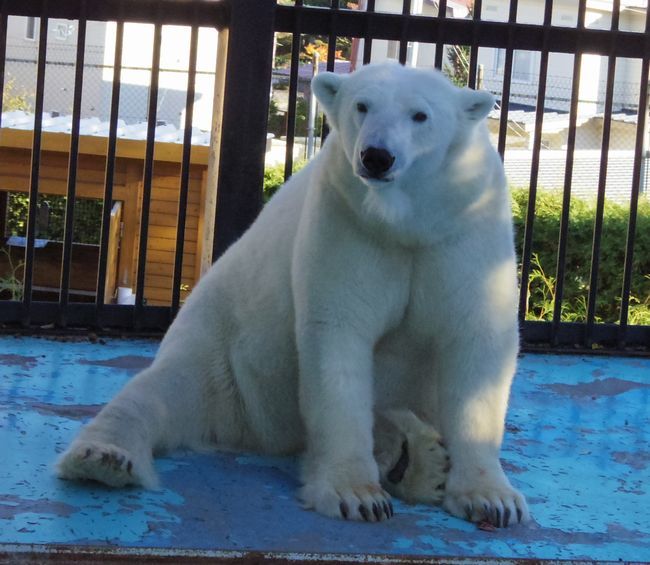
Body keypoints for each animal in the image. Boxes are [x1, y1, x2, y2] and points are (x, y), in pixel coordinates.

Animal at [57, 64, 528, 528]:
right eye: (362, 105)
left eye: (420, 115)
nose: (376, 156)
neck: (406, 223)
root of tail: (263, 433)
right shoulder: (348, 221)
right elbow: (338, 336)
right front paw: (356, 495)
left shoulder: (463, 231)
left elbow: (477, 341)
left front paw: (493, 499)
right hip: (224, 360)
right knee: (158, 394)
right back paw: (103, 458)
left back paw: (416, 461)